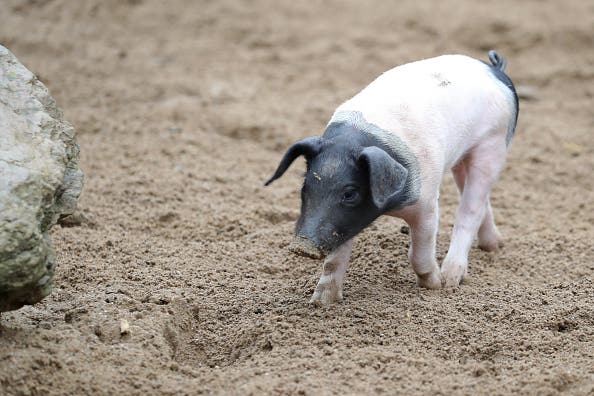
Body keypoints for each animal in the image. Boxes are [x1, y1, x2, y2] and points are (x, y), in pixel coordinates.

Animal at [264, 49, 512, 304]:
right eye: (306, 186)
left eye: (350, 193)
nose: (301, 246)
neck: (389, 207)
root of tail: (494, 69)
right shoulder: (342, 222)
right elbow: (334, 259)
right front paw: (321, 302)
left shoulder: (426, 203)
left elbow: (419, 253)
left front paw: (434, 285)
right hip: (463, 157)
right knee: (479, 201)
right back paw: (494, 246)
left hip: (492, 145)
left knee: (470, 208)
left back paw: (451, 278)